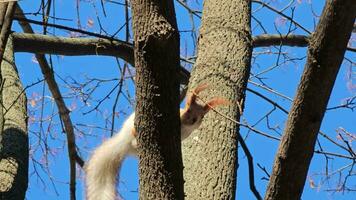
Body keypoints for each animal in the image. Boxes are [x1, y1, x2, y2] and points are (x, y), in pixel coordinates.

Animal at [84, 83, 228, 199]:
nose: (192, 119)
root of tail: (122, 143)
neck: (185, 126)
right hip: (131, 127)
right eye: (188, 108)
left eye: (201, 116)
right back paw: (134, 132)